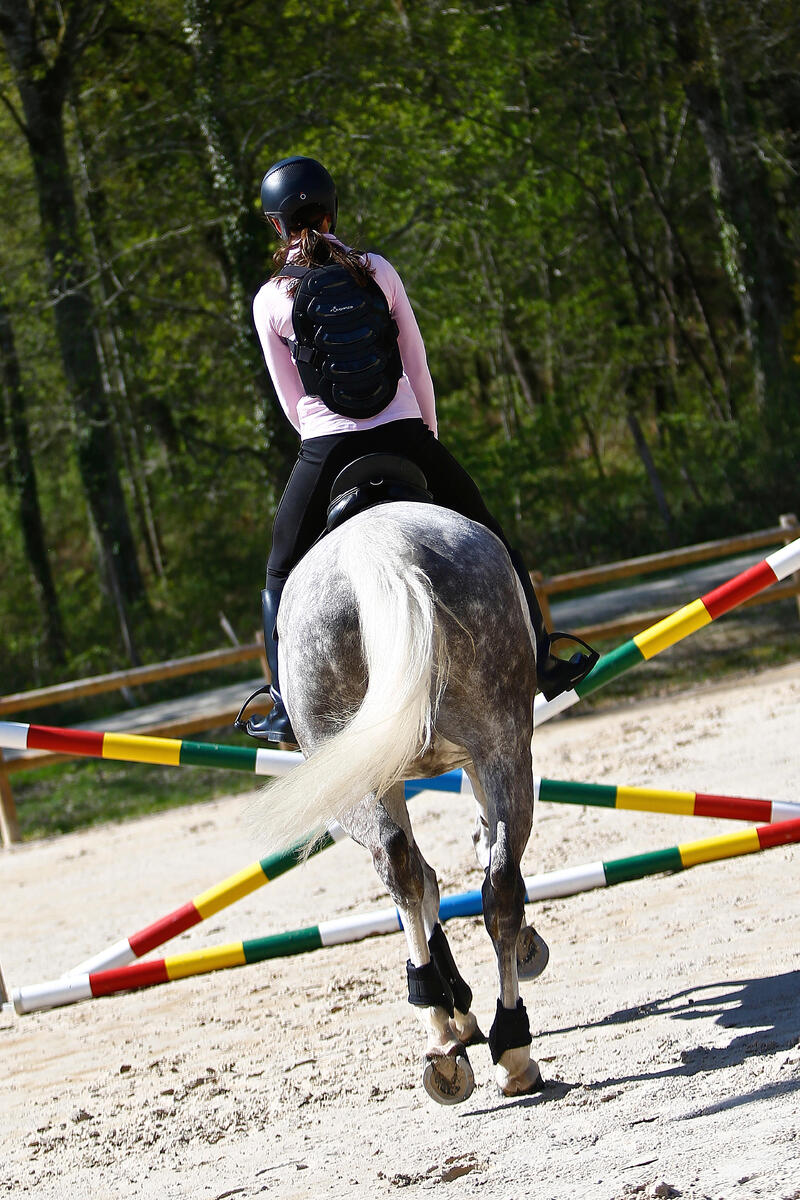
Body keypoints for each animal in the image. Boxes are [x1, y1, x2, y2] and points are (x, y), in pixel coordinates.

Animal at [251, 499, 551, 1104]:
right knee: (492, 882)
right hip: (501, 744)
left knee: (406, 865)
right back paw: (506, 1047)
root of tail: (382, 552)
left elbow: (429, 880)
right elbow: (460, 862)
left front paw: (452, 1006)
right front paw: (462, 1003)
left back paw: (447, 1039)